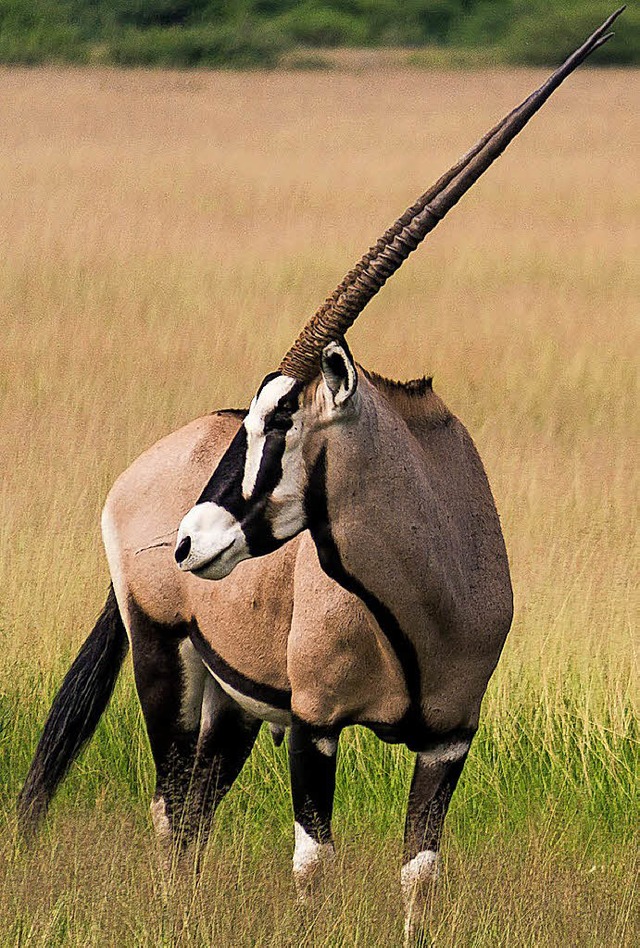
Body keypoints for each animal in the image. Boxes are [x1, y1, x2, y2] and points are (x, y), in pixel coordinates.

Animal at [18, 12, 620, 940]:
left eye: (282, 419)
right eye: (257, 413)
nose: (188, 541)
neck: (424, 586)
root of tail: (140, 472)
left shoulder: (451, 739)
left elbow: (419, 875)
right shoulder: (315, 725)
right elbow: (313, 866)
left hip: (230, 705)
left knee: (195, 812)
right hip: (165, 661)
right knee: (168, 810)